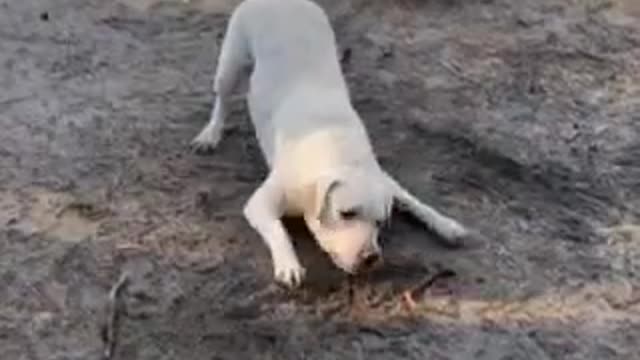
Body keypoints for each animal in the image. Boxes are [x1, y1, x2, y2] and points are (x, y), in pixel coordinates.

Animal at [190, 0, 470, 286]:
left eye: (380, 222)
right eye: (346, 213)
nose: (371, 257)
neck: (338, 151)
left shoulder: (382, 177)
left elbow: (412, 199)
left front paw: (445, 224)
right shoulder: (260, 204)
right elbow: (279, 231)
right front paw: (289, 265)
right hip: (232, 61)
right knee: (222, 98)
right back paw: (211, 134)